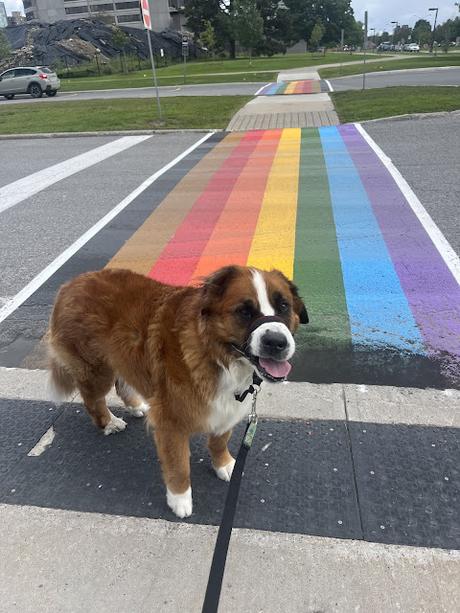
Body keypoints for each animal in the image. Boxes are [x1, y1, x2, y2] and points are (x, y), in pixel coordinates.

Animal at [47, 266, 310, 516]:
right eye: (244, 312)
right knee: (93, 398)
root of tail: (70, 284)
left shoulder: (227, 408)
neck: (216, 354)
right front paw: (180, 499)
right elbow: (179, 466)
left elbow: (219, 440)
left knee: (121, 384)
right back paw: (108, 422)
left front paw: (223, 464)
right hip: (97, 370)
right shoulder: (170, 423)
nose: (277, 342)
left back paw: (136, 405)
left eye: (284, 306)